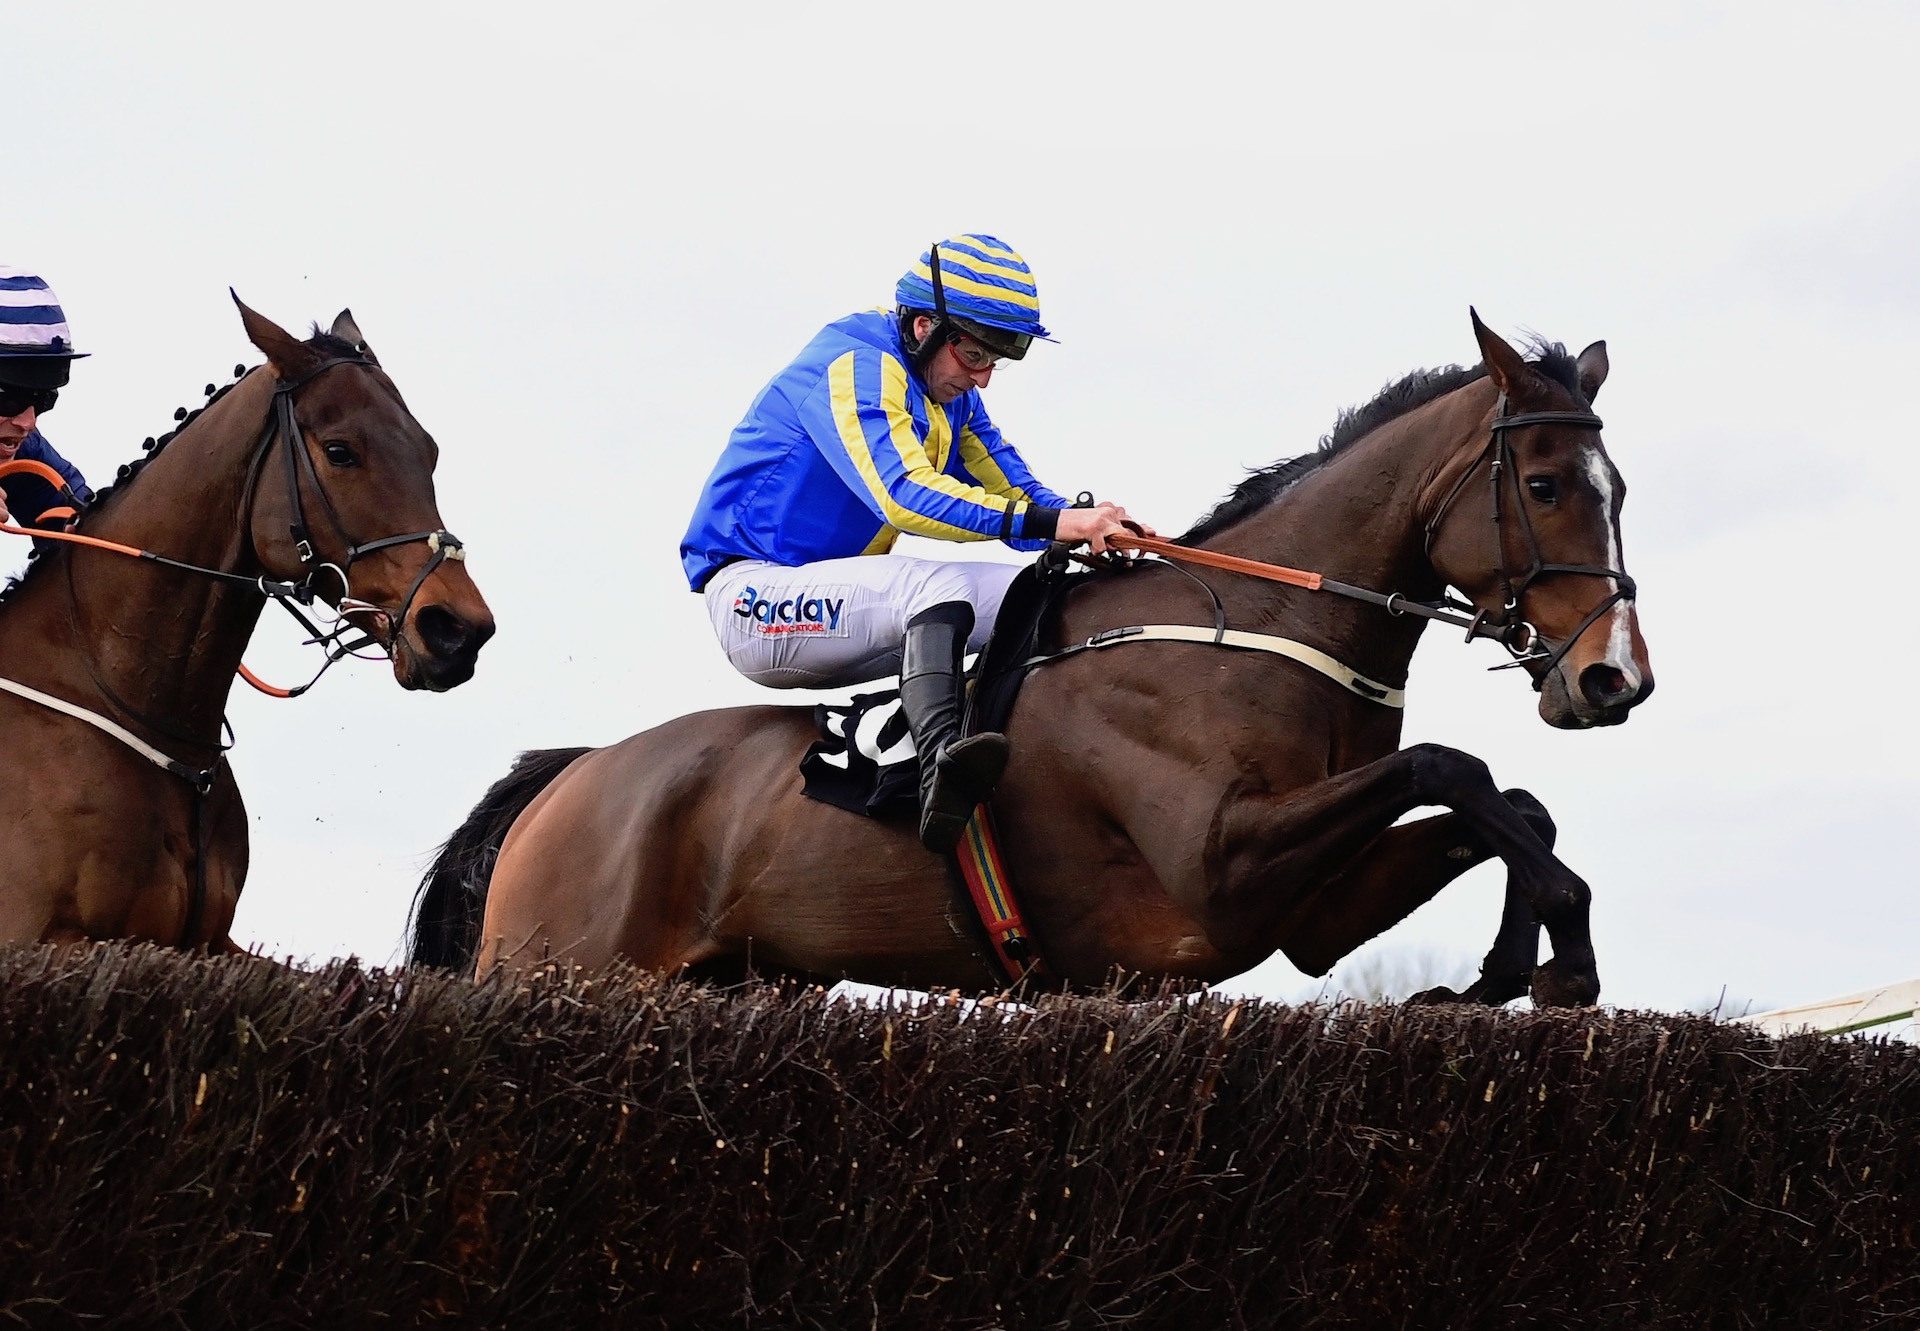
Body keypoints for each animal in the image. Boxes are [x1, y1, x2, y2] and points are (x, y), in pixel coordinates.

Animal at [416, 316, 1651, 1006]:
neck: (1254, 630)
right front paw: (1562, 950)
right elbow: (1453, 767)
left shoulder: (1309, 913)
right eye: (1545, 484)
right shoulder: (1219, 868)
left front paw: (1511, 965)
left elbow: (1511, 804)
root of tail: (570, 779)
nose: (1614, 678)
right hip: (561, 958)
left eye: (1621, 489)